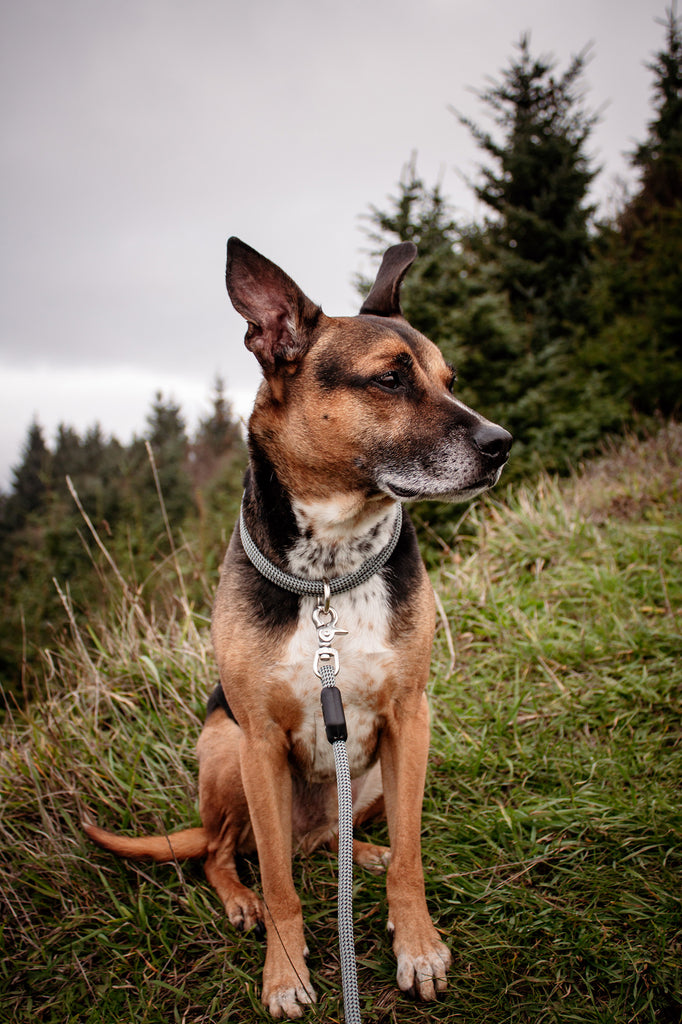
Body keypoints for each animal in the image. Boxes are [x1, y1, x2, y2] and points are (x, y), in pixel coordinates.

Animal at [83, 237, 509, 1015]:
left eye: (448, 378)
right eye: (390, 379)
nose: (503, 443)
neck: (329, 572)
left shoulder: (412, 717)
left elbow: (411, 856)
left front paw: (417, 944)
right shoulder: (257, 741)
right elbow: (282, 886)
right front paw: (283, 971)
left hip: (370, 778)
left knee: (329, 846)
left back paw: (361, 855)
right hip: (225, 755)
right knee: (226, 853)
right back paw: (240, 899)